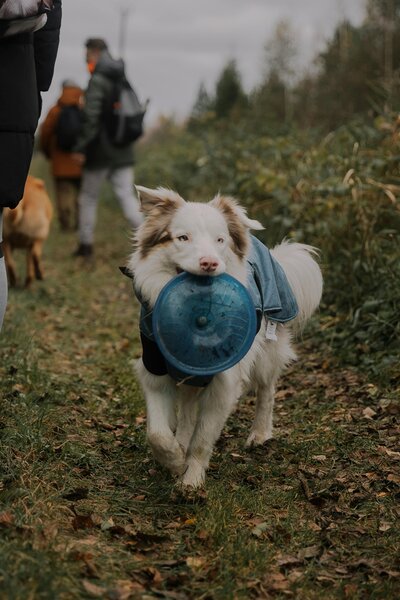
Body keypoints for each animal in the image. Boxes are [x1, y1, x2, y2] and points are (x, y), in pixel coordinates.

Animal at [126, 188, 324, 492]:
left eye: (220, 240)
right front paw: (174, 459)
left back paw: (260, 433)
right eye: (183, 238)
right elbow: (157, 433)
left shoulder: (224, 381)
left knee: (267, 390)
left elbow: (202, 439)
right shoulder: (155, 367)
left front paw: (191, 480)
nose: (210, 263)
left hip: (267, 351)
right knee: (187, 408)